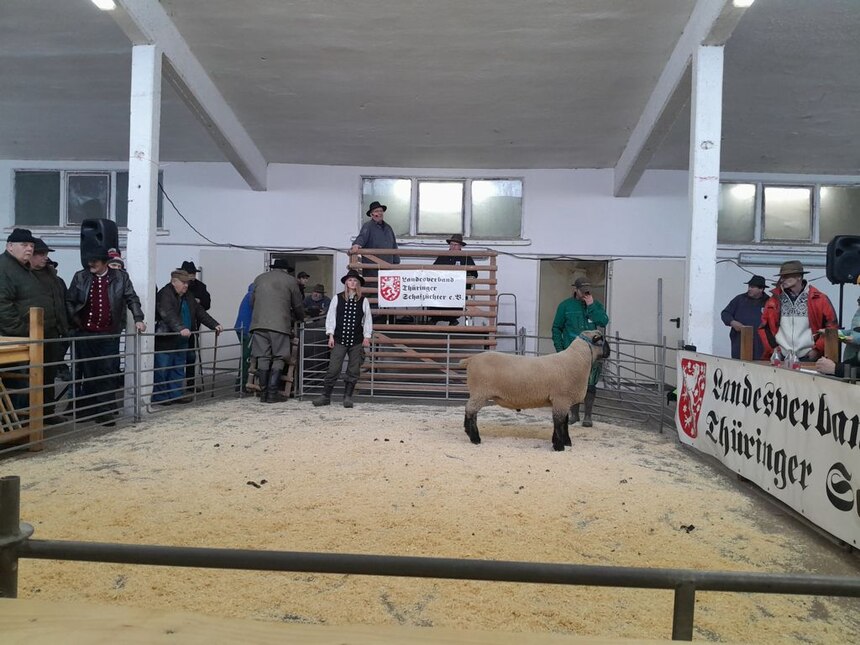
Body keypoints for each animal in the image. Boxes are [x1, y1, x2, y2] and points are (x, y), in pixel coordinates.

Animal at [460, 330, 608, 450]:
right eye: (602, 340)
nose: (609, 351)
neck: (578, 360)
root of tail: (471, 359)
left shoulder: (563, 401)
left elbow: (564, 422)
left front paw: (565, 442)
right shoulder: (561, 399)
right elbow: (559, 423)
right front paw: (559, 446)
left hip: (478, 393)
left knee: (471, 412)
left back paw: (469, 433)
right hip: (480, 392)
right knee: (470, 412)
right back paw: (475, 438)